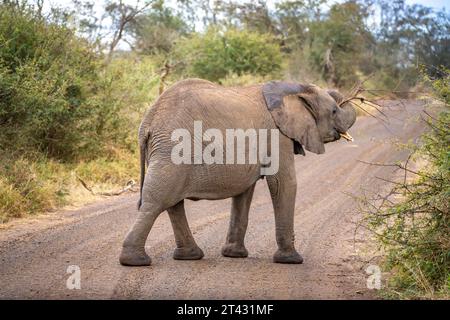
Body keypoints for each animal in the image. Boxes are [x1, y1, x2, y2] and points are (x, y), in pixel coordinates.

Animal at [118, 79, 356, 266]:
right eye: (334, 111)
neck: (291, 89)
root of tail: (147, 122)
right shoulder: (277, 136)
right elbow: (284, 183)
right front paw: (292, 260)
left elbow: (244, 192)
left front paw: (234, 255)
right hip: (172, 150)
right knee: (157, 201)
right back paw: (135, 261)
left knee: (172, 203)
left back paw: (189, 256)